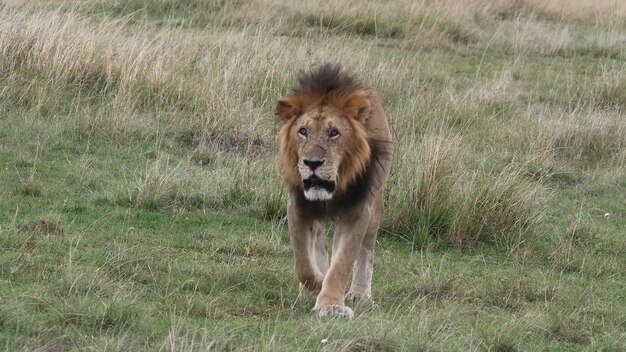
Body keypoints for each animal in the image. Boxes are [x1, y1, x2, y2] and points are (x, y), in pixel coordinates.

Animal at [276, 64, 392, 320]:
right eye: (303, 131)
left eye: (334, 133)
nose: (312, 163)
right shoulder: (298, 206)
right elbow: (303, 262)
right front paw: (317, 285)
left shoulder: (358, 211)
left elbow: (343, 263)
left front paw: (330, 305)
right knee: (317, 244)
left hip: (376, 206)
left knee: (366, 251)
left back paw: (360, 293)